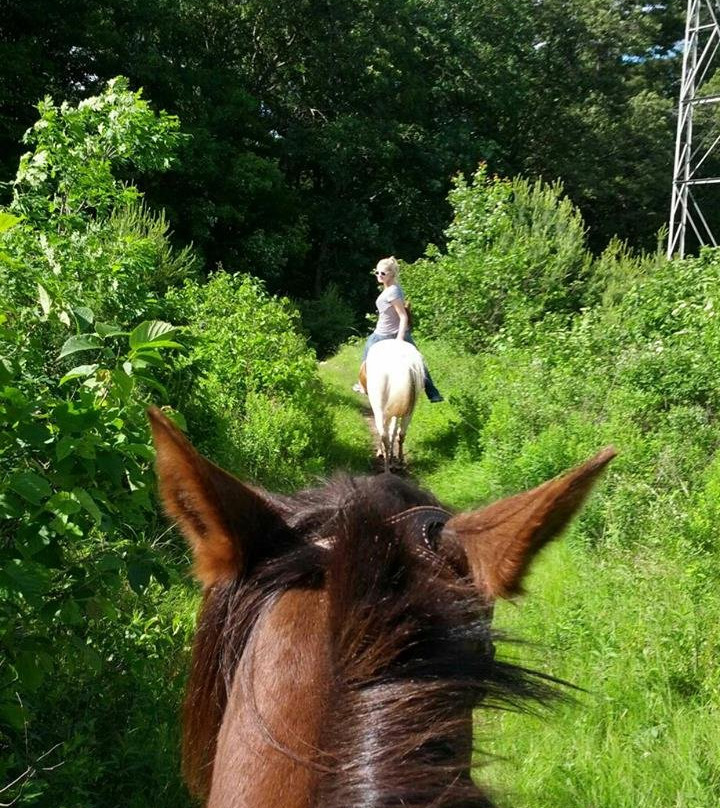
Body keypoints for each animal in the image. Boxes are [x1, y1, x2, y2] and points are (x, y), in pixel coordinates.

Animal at [366, 338, 428, 470]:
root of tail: (406, 365)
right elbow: (393, 431)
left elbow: (388, 431)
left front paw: (382, 453)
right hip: (410, 411)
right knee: (401, 433)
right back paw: (399, 460)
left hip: (380, 408)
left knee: (383, 434)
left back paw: (387, 464)